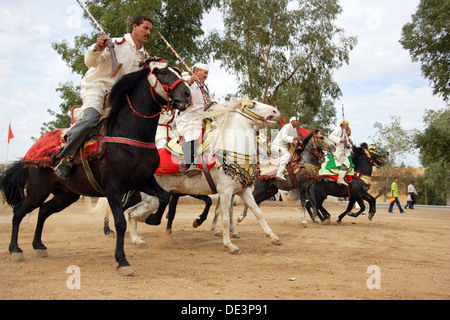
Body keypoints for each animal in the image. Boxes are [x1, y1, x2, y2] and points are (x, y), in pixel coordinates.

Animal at [0, 57, 192, 276]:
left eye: (178, 72)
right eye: (163, 73)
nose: (187, 94)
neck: (129, 135)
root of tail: (30, 155)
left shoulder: (143, 181)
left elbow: (165, 197)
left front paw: (151, 219)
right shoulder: (113, 187)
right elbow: (120, 222)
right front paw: (122, 261)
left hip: (66, 195)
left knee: (43, 211)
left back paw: (39, 245)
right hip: (38, 191)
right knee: (19, 211)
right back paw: (15, 249)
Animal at [99, 97, 282, 252]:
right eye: (253, 103)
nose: (275, 111)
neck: (230, 151)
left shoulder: (242, 190)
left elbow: (258, 212)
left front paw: (273, 237)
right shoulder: (225, 192)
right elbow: (224, 217)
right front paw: (229, 244)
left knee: (129, 211)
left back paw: (135, 237)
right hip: (152, 199)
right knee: (132, 213)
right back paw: (135, 236)